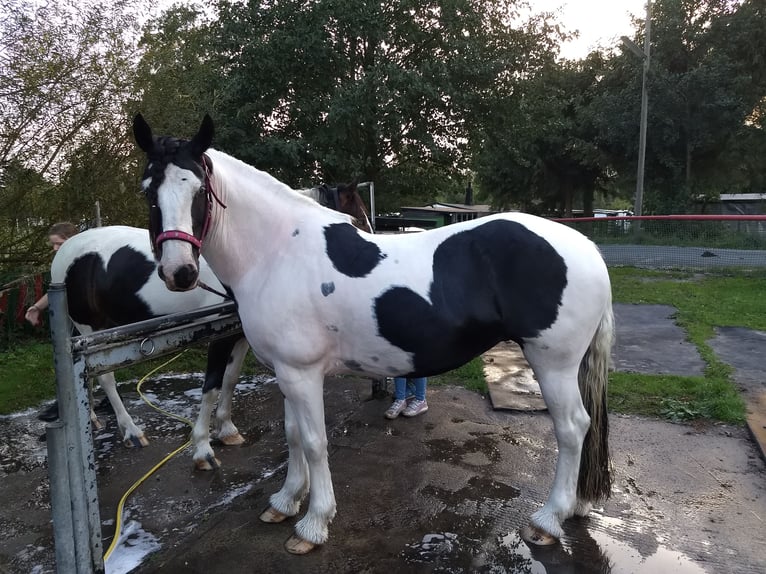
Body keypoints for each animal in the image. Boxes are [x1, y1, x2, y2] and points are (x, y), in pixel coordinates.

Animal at [130, 115, 612, 556]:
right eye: (148, 190)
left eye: (197, 189)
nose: (179, 272)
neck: (277, 251)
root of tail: (587, 247)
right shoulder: (288, 372)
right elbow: (292, 436)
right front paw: (285, 502)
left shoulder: (302, 374)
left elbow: (314, 443)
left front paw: (313, 524)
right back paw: (576, 506)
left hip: (553, 363)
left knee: (573, 428)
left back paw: (548, 520)